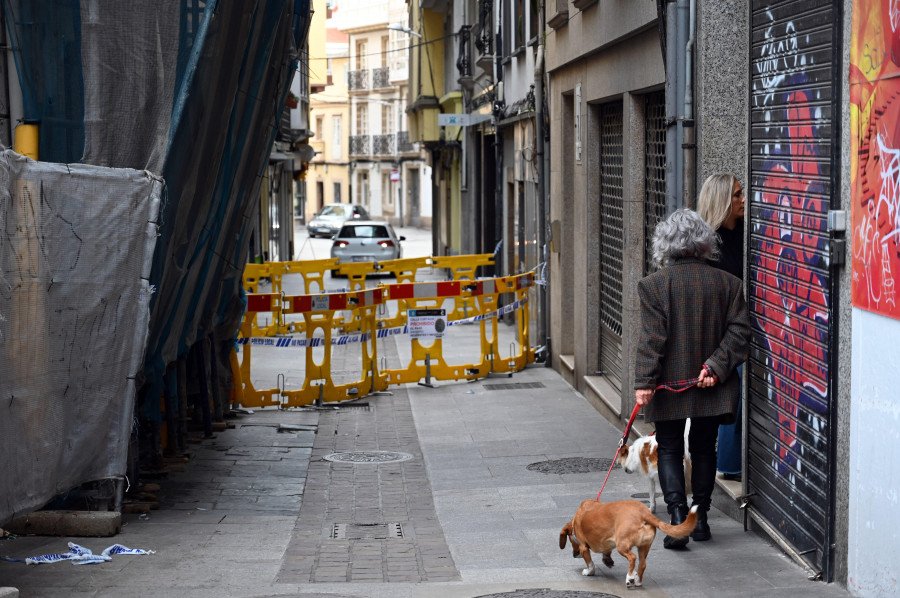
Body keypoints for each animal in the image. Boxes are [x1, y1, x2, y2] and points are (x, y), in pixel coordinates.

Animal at [560, 502, 700, 592]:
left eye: (571, 541)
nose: (574, 554)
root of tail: (644, 513)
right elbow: (606, 552)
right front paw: (607, 560)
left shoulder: (584, 547)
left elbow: (590, 563)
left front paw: (589, 572)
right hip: (644, 547)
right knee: (642, 564)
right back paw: (637, 580)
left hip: (622, 546)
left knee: (632, 558)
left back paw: (630, 579)